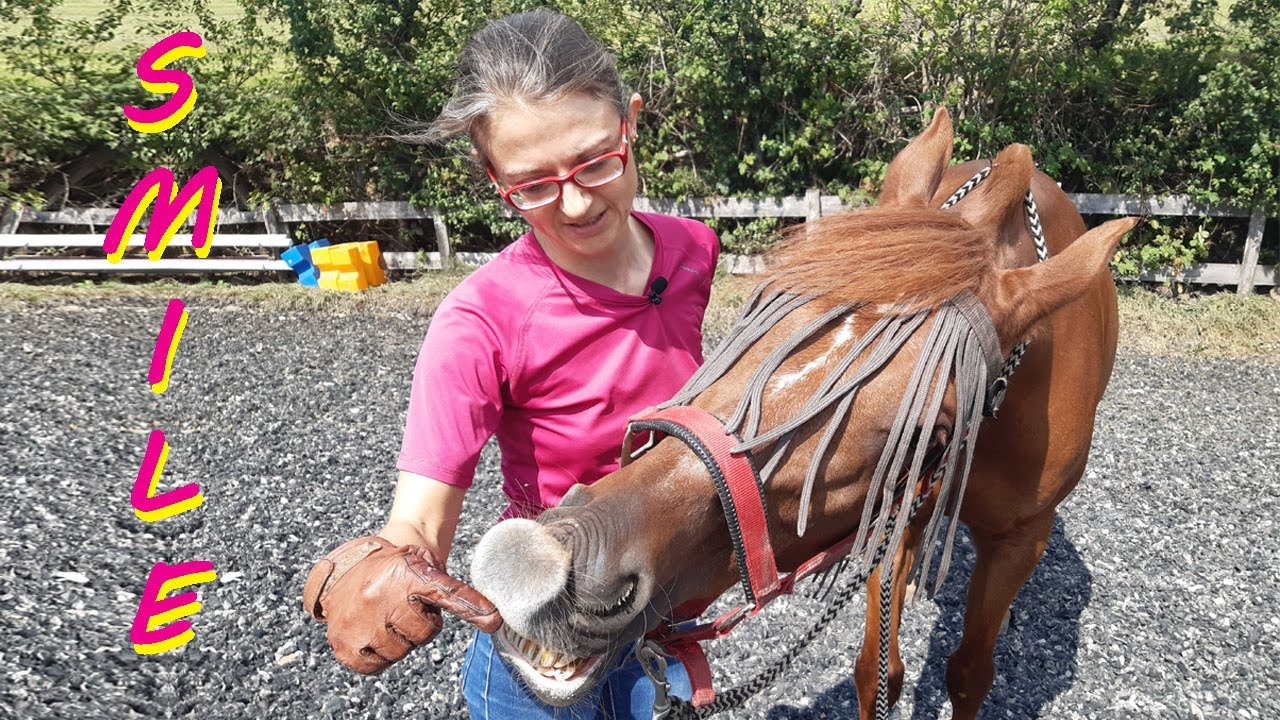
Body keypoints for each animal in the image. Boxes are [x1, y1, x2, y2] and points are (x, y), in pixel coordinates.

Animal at [468, 108, 1137, 719]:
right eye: (757, 314)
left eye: (930, 435)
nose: (540, 560)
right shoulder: (885, 518)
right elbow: (879, 670)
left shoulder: (1016, 536)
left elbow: (971, 674)